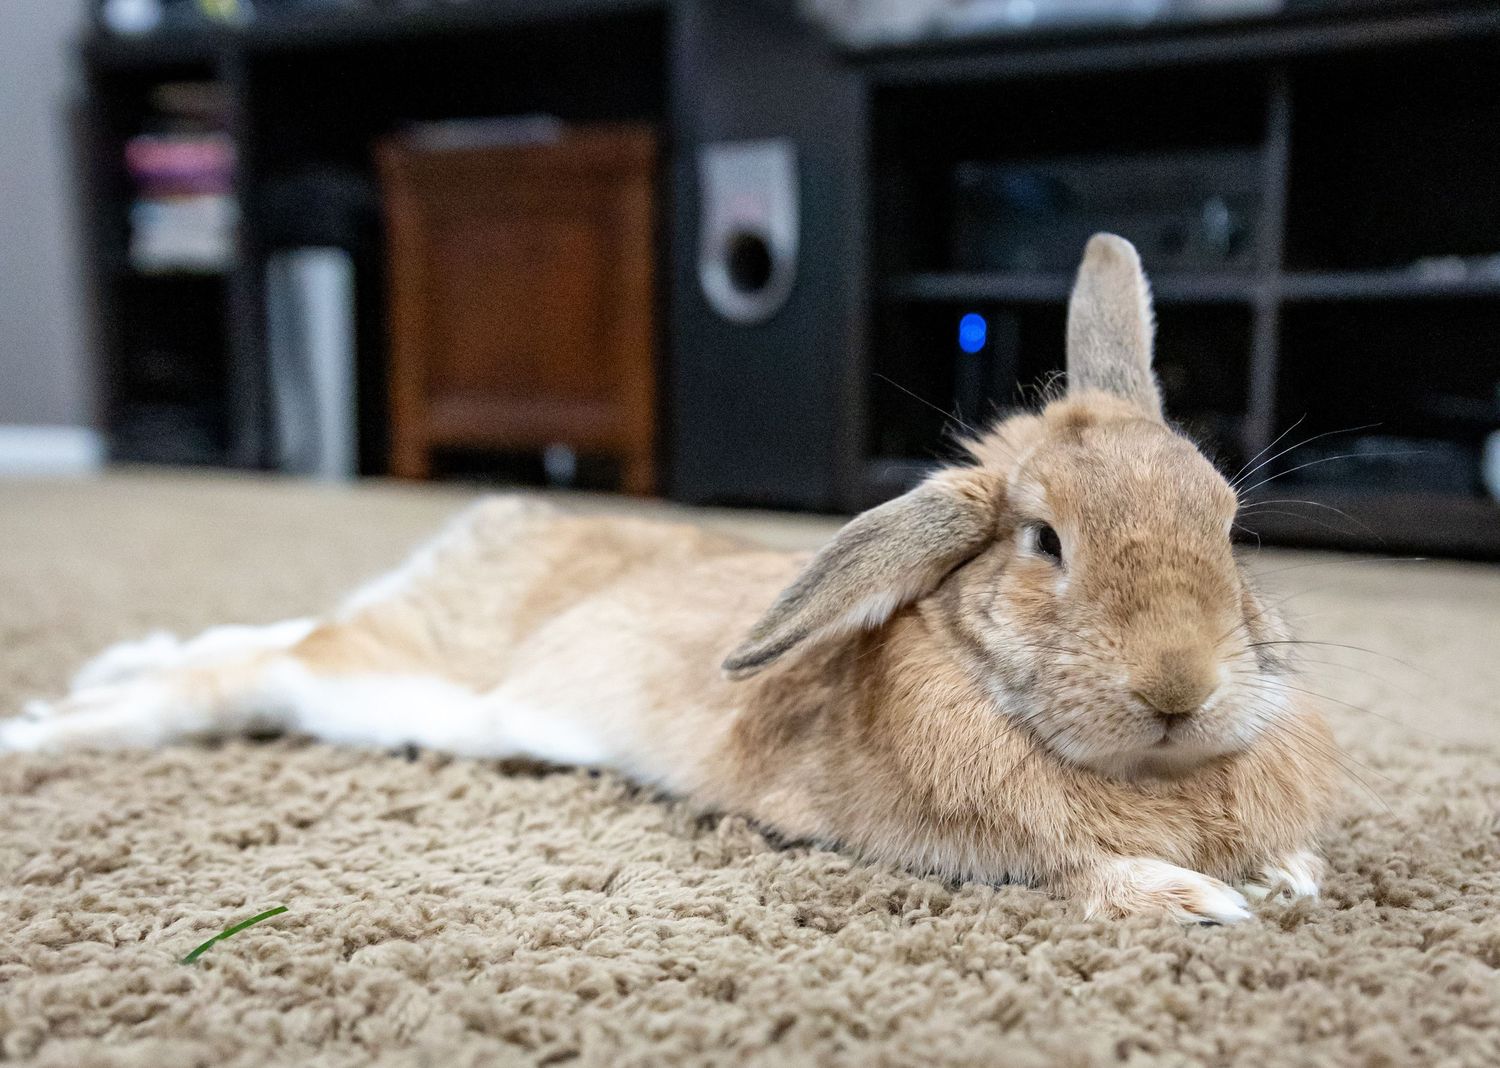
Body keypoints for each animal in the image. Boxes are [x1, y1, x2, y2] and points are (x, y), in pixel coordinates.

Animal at [1, 234, 1337, 923]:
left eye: (1228, 525)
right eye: (1044, 542)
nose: (1179, 685)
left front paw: (1291, 876)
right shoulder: (948, 844)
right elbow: (1077, 868)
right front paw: (1203, 903)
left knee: (256, 639)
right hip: (380, 691)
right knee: (229, 682)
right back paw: (40, 732)